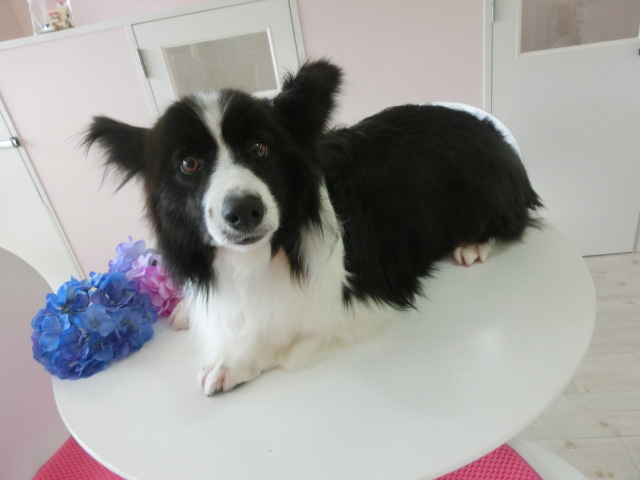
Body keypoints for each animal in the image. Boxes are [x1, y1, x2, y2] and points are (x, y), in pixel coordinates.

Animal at [85, 59, 542, 395]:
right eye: (189, 164)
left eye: (259, 148)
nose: (244, 211)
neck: (264, 253)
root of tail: (489, 130)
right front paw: (184, 307)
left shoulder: (354, 301)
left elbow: (283, 330)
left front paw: (231, 361)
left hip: (484, 197)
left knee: (508, 220)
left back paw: (473, 244)